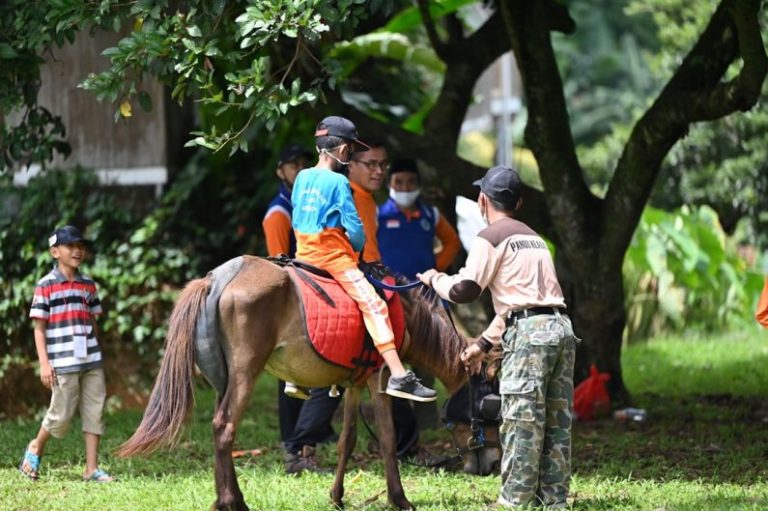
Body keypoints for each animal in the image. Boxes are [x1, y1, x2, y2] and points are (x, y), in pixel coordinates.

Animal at [117, 255, 500, 510]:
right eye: (491, 411)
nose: (493, 465)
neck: (402, 311)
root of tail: (215, 279)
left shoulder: (355, 382)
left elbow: (347, 440)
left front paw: (337, 496)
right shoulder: (380, 378)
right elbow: (389, 439)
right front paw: (399, 498)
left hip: (221, 379)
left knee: (216, 427)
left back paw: (220, 498)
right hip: (245, 373)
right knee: (225, 427)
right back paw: (233, 500)